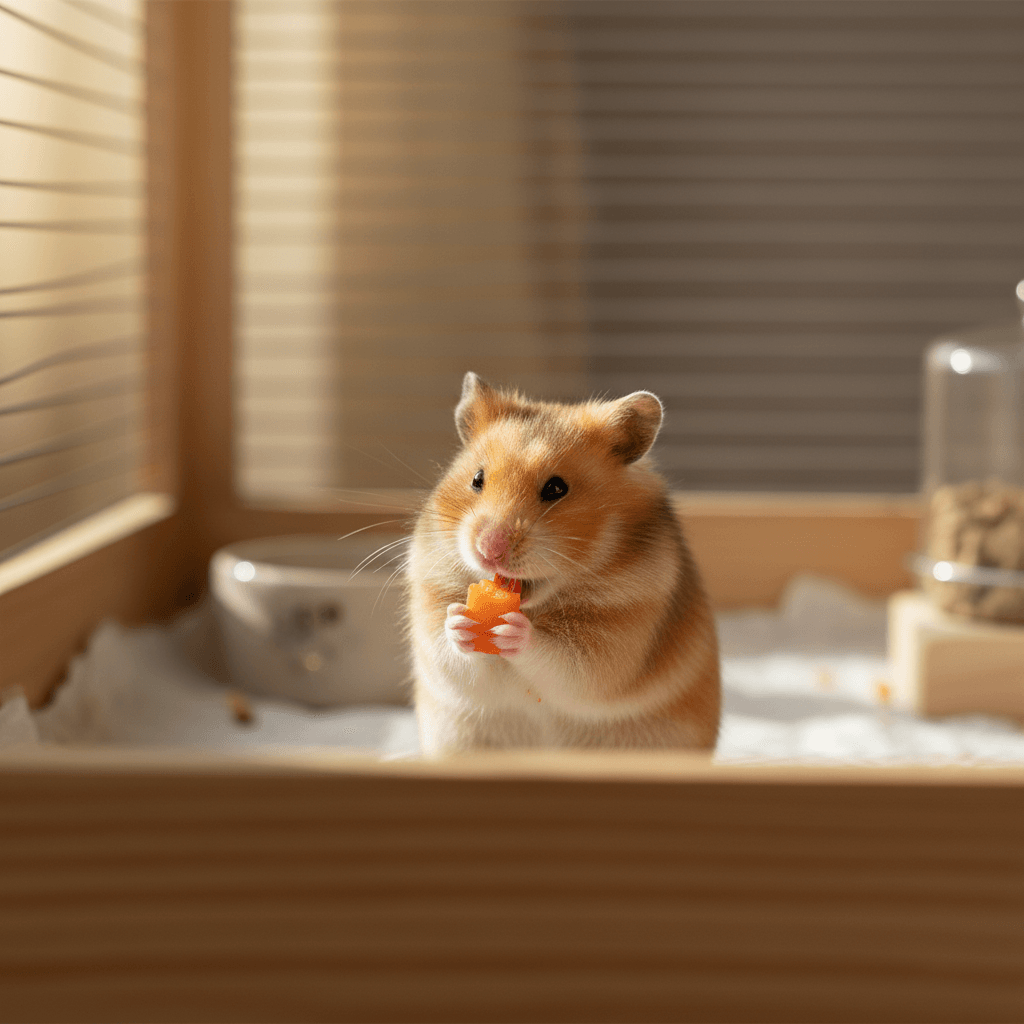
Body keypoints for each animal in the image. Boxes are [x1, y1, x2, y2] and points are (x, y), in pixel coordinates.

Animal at [407, 372, 720, 756]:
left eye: (556, 488)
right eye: (477, 479)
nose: (488, 550)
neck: (537, 604)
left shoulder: (617, 638)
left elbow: (565, 662)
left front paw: (514, 629)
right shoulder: (430, 609)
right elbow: (449, 653)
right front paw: (459, 620)